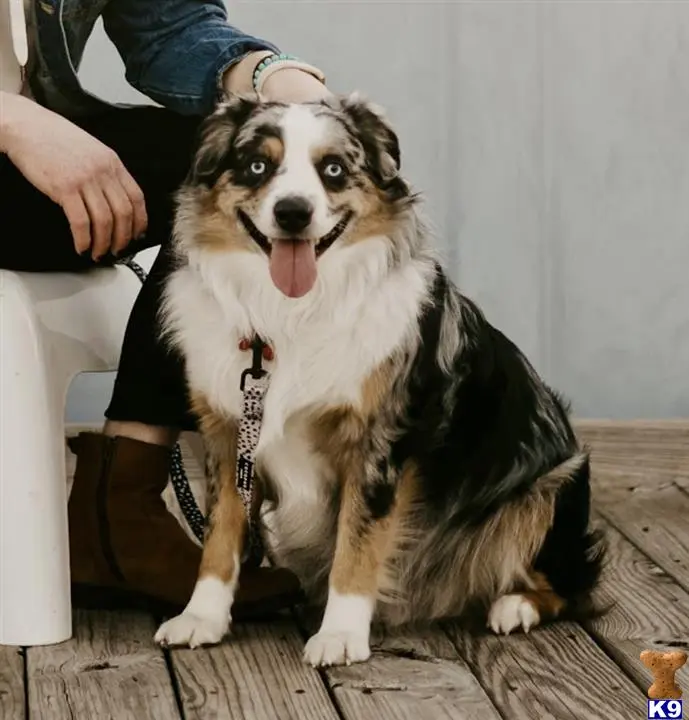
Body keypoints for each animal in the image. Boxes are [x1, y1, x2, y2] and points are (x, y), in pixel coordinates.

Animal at [155, 93, 600, 668]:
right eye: (257, 166)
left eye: (333, 169)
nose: (293, 213)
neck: (290, 313)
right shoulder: (230, 433)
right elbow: (220, 533)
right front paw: (202, 616)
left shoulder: (380, 441)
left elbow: (357, 542)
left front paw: (341, 634)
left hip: (553, 484)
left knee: (573, 579)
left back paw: (514, 606)